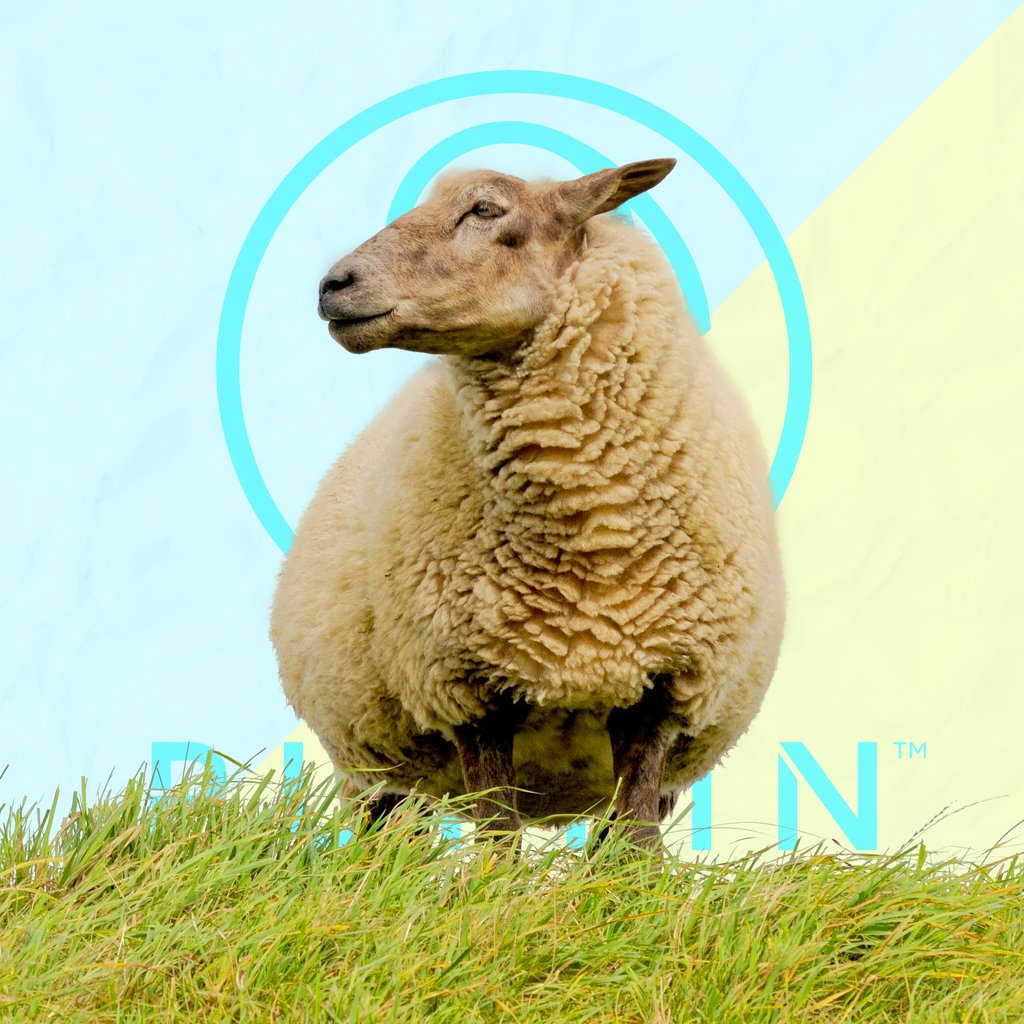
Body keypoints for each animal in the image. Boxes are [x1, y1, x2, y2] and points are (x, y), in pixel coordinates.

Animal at [270, 158, 785, 849]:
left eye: (485, 209)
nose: (332, 285)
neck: (593, 535)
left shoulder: (664, 691)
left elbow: (637, 848)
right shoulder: (465, 692)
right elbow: (500, 846)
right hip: (384, 768)